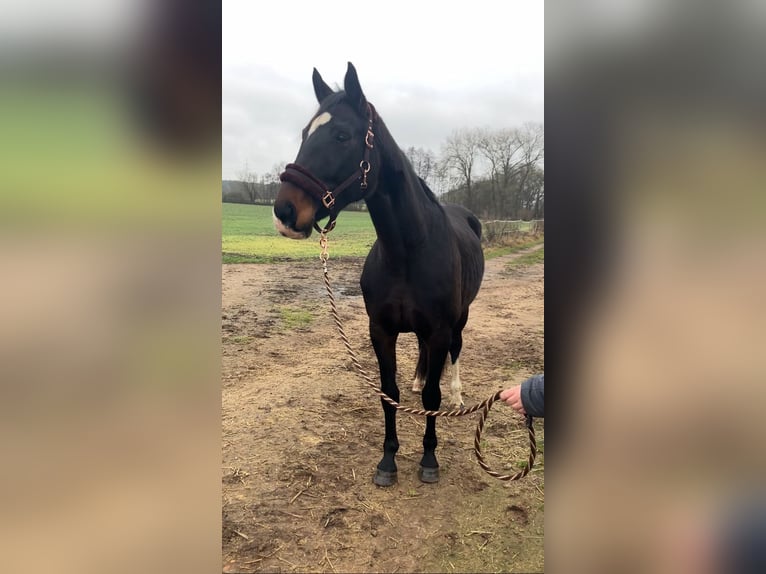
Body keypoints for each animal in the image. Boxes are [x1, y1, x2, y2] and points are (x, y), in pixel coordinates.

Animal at [273, 62, 485, 486]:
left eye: (342, 135)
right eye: (305, 133)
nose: (285, 212)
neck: (407, 252)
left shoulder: (438, 329)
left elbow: (432, 398)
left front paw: (429, 459)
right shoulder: (381, 331)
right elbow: (389, 393)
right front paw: (388, 460)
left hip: (460, 319)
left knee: (455, 353)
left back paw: (456, 395)